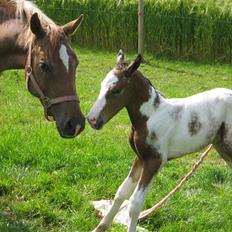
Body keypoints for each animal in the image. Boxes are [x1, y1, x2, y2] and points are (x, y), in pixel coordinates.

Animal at [87, 51, 232, 232]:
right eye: (101, 85)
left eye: (116, 90)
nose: (92, 119)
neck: (150, 117)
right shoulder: (140, 159)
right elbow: (121, 193)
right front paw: (100, 227)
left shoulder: (154, 161)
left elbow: (135, 204)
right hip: (222, 148)